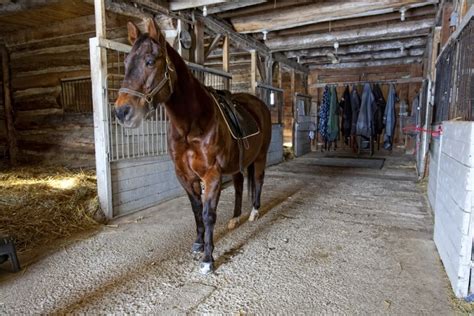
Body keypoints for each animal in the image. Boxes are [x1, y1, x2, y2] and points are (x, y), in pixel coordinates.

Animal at [112, 18, 272, 274]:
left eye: (150, 61)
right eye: (126, 63)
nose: (122, 112)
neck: (192, 125)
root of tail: (259, 104)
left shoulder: (212, 175)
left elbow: (208, 215)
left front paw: (208, 259)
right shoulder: (185, 175)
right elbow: (196, 210)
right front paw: (198, 243)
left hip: (260, 157)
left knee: (257, 181)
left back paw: (254, 212)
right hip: (237, 165)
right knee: (239, 187)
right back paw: (235, 218)